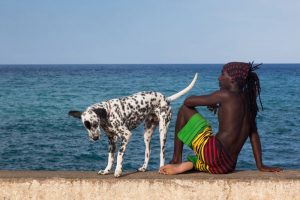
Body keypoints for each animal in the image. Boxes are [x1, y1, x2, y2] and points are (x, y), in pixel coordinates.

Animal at [69, 73, 198, 177]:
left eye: (95, 123)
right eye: (86, 126)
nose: (95, 138)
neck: (108, 113)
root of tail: (166, 98)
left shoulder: (126, 135)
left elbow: (119, 156)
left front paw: (118, 171)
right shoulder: (111, 141)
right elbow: (110, 158)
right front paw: (106, 171)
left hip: (163, 131)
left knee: (162, 153)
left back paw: (161, 168)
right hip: (147, 134)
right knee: (148, 152)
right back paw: (144, 167)